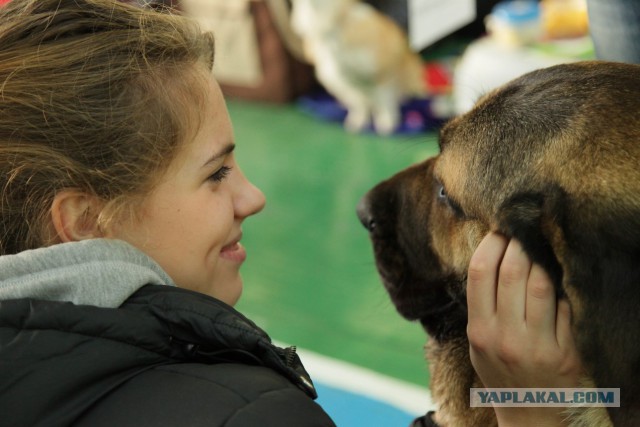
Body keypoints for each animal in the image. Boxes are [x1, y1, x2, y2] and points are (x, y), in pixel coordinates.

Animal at [292, 0, 428, 135]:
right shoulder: (343, 82)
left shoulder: (381, 75)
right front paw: (359, 120)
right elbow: (359, 105)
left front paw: (387, 122)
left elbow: (384, 103)